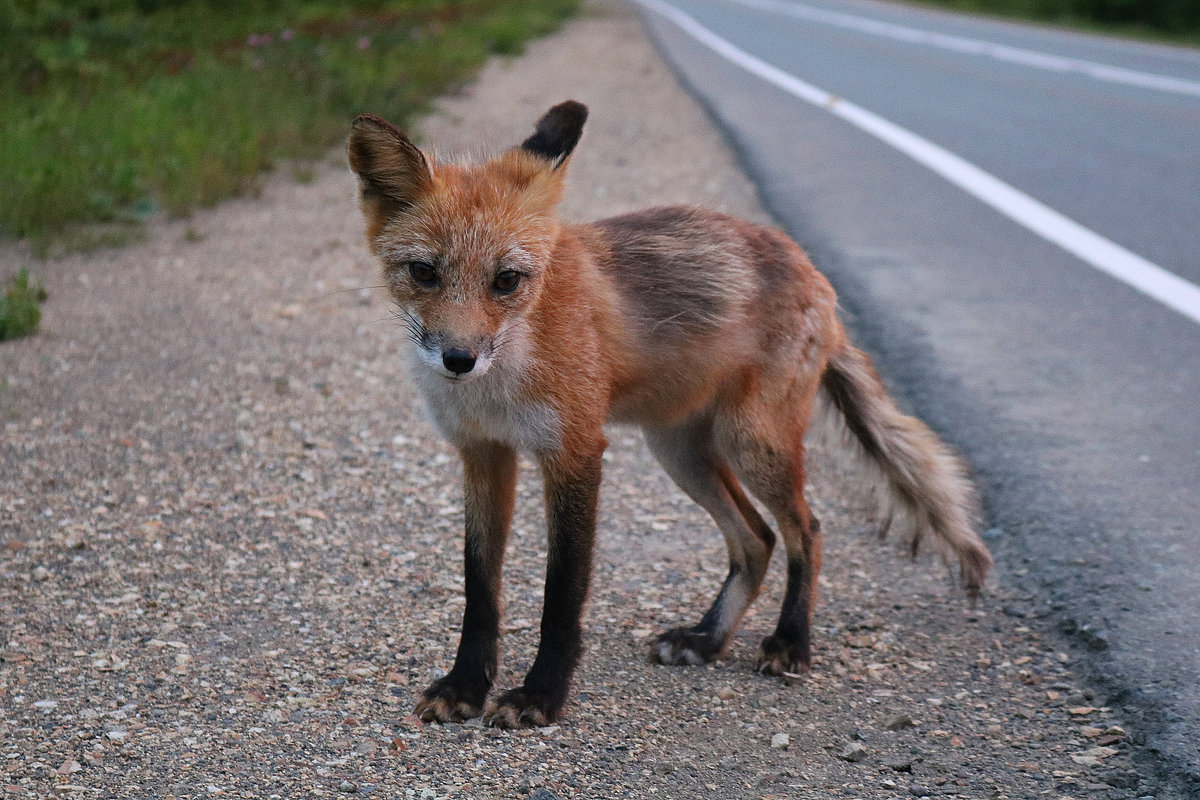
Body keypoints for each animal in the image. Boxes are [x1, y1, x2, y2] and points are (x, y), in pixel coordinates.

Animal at [348, 101, 993, 734]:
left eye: (506, 280)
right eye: (424, 272)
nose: (459, 359)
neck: (501, 382)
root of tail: (811, 269)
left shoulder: (576, 452)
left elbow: (562, 594)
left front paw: (542, 695)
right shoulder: (482, 452)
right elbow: (479, 588)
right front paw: (465, 686)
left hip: (752, 443)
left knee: (806, 530)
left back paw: (790, 642)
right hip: (679, 454)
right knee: (756, 540)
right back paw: (707, 640)